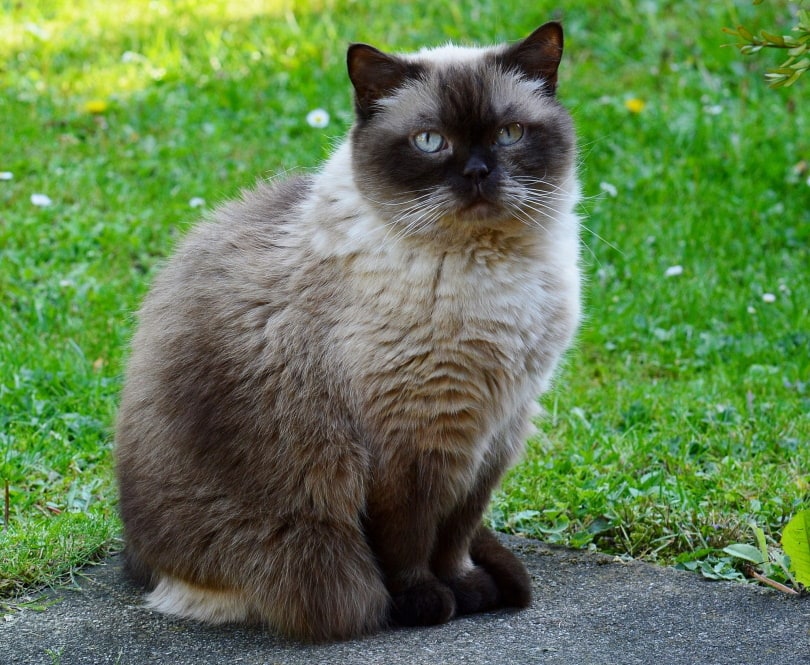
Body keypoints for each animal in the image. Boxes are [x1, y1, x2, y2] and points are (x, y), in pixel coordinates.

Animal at [115, 20, 580, 640]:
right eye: (430, 141)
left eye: (509, 134)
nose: (479, 173)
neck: (490, 271)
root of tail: (137, 563)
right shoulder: (413, 442)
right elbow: (408, 540)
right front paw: (429, 602)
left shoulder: (496, 430)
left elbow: (455, 534)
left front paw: (466, 586)